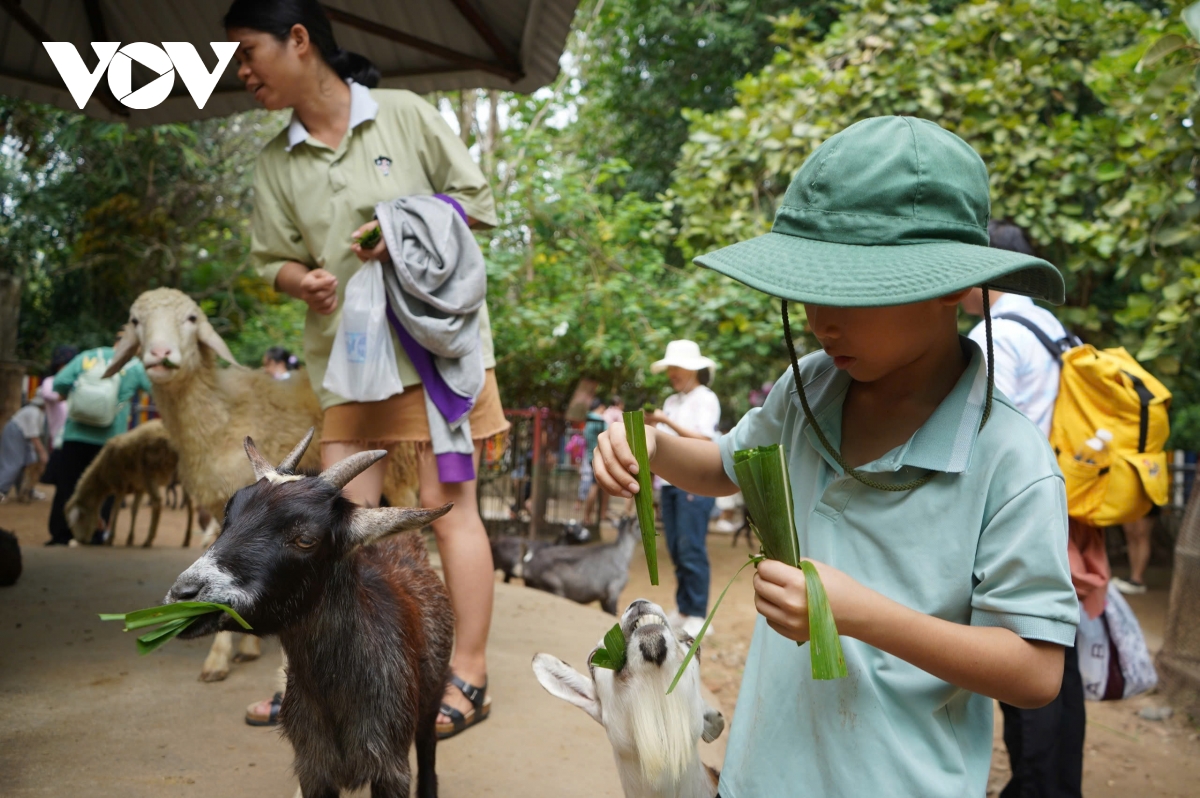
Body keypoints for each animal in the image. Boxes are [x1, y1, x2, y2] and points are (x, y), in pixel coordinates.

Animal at [104, 289, 422, 681]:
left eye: (191, 319)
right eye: (136, 321)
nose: (160, 355)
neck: (222, 412)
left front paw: (220, 658)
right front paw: (245, 646)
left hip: (401, 475)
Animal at [164, 429, 453, 796]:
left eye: (305, 539)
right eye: (228, 515)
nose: (182, 593)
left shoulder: (391, 768)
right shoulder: (312, 768)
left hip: (433, 693)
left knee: (428, 747)